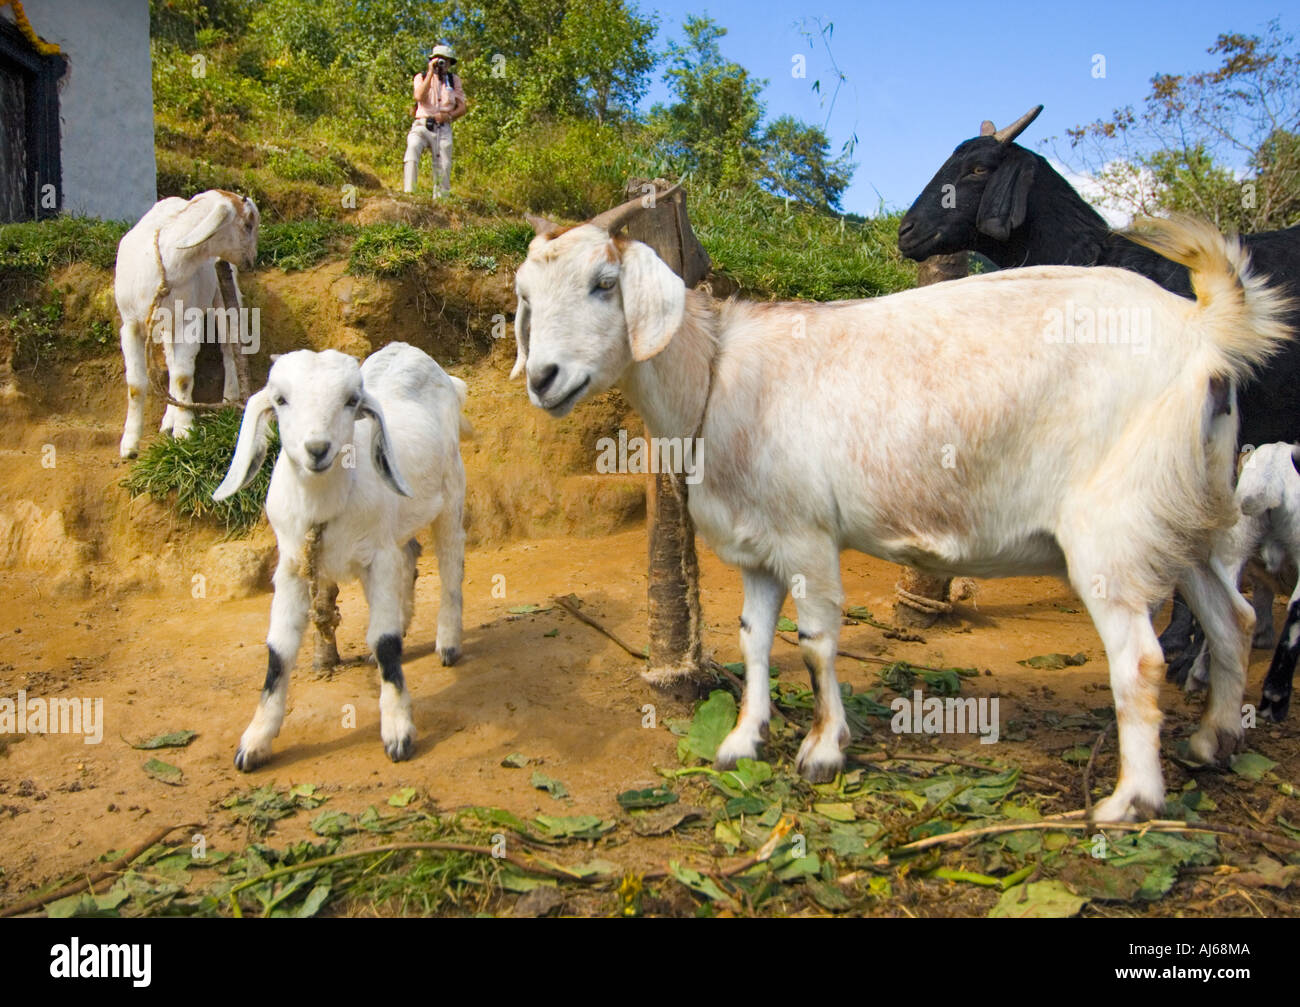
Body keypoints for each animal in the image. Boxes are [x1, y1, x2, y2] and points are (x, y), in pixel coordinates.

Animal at [514, 193, 1289, 821]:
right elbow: (754, 640)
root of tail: (1206, 330)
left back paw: (1129, 801)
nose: (543, 379)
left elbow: (815, 641)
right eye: (524, 296)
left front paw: (824, 750)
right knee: (1234, 619)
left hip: (1112, 526)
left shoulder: (807, 534)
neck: (715, 377)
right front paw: (742, 739)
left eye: (604, 283)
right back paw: (1212, 741)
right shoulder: (760, 543)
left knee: (1141, 659)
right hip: (1186, 513)